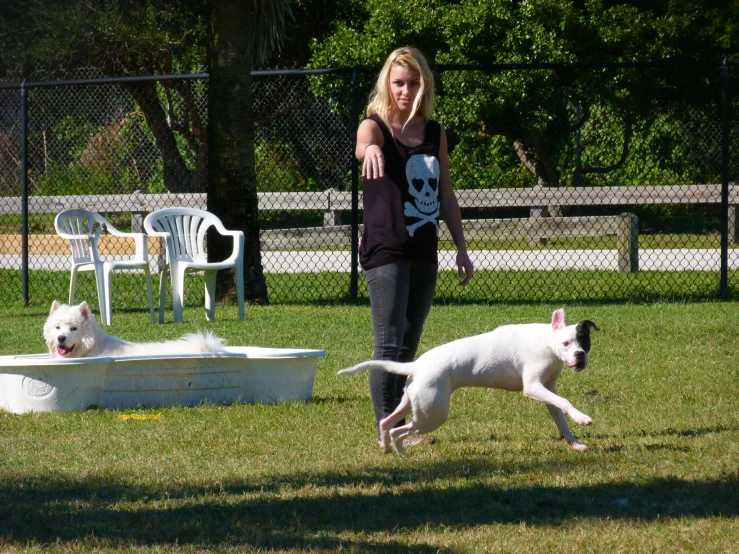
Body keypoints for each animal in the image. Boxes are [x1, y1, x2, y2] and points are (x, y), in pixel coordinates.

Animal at [338, 306, 600, 452]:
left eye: (585, 341)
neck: (546, 341)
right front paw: (583, 418)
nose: (580, 356)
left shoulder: (548, 389)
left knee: (387, 423)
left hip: (413, 403)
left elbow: (560, 416)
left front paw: (575, 443)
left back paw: (388, 448)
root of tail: (417, 365)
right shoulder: (533, 387)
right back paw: (400, 450)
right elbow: (565, 402)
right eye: (566, 343)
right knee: (399, 430)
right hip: (432, 415)